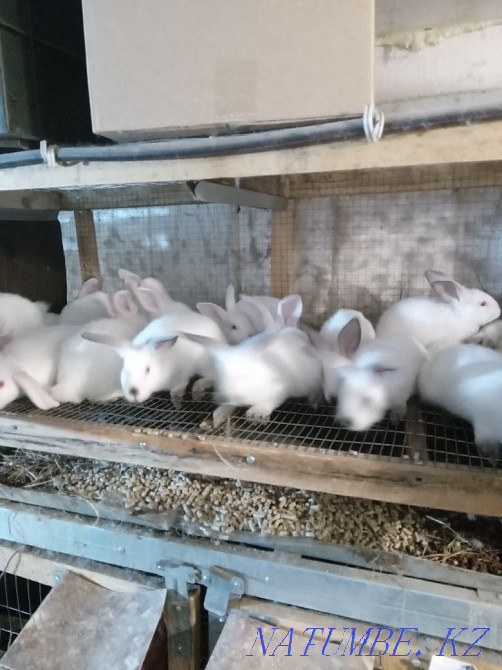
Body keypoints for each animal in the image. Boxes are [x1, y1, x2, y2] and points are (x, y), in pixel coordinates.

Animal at [82, 293, 225, 407]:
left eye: (147, 369)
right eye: (124, 368)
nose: (133, 391)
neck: (161, 363)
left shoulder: (183, 372)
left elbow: (179, 386)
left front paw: (176, 400)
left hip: (205, 365)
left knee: (211, 377)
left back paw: (197, 388)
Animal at [183, 296, 323, 426]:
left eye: (244, 376)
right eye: (222, 377)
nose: (225, 396)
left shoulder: (279, 389)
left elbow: (270, 400)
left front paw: (256, 414)